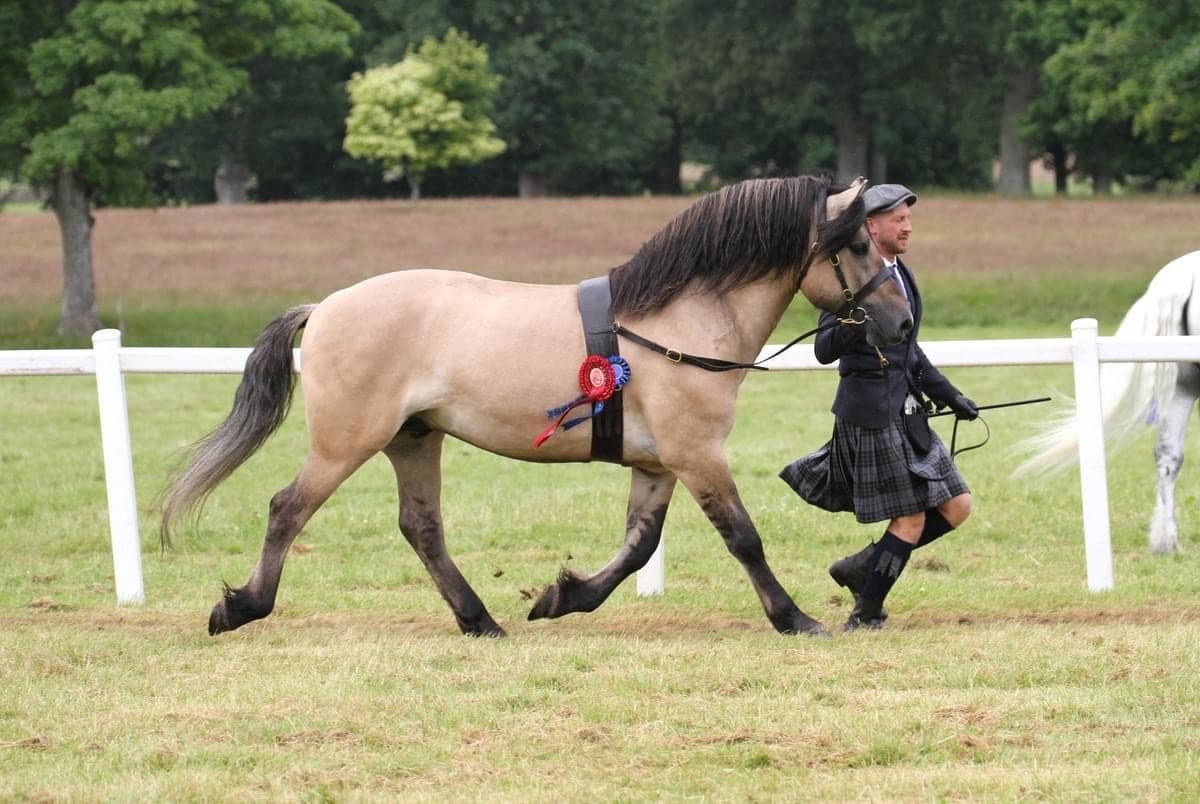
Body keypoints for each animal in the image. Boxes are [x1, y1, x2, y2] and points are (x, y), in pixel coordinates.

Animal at [161, 175, 912, 638]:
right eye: (855, 244)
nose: (903, 324)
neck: (678, 319)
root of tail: (326, 308)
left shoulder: (659, 463)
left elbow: (639, 546)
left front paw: (563, 597)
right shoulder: (698, 455)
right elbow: (743, 538)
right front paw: (794, 618)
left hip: (414, 438)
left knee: (421, 527)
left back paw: (479, 620)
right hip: (347, 442)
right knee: (287, 509)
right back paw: (243, 607)